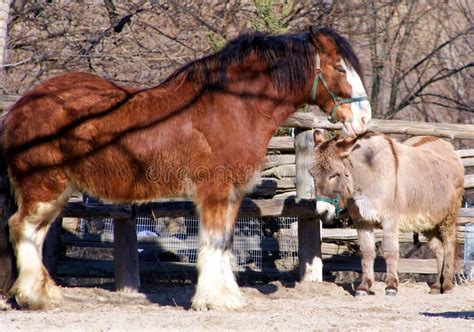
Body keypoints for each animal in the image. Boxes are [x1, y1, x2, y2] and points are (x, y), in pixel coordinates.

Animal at [0, 27, 370, 310]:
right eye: (339, 68)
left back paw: (42, 294)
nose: (364, 119)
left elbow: (225, 242)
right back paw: (33, 297)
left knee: (34, 234)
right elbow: (214, 242)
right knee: (21, 229)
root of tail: (21, 107)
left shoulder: (232, 194)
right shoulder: (215, 191)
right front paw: (214, 299)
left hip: (54, 192)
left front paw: (227, 296)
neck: (232, 106)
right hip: (43, 188)